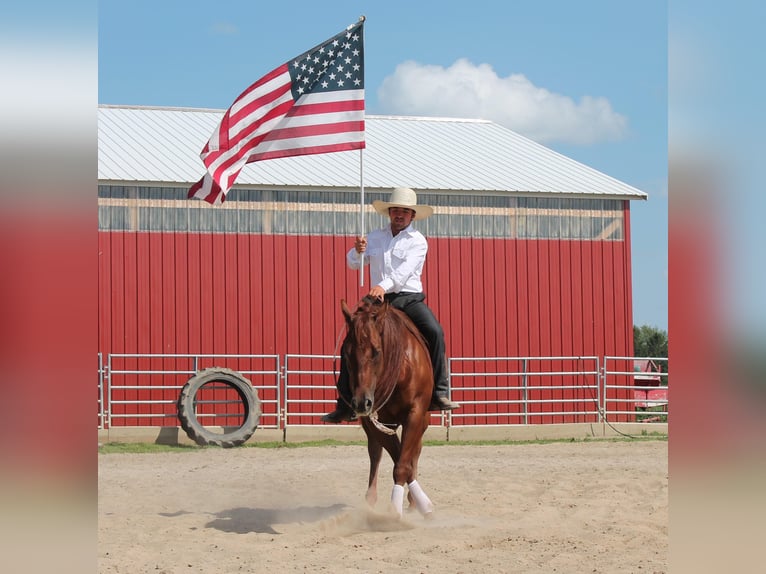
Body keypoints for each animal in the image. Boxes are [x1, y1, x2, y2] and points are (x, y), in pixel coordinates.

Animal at [342, 296, 438, 516]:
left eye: (377, 351)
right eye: (347, 353)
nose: (361, 402)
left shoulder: (415, 414)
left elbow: (404, 463)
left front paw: (413, 505)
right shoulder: (376, 421)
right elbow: (398, 459)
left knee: (414, 452)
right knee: (376, 454)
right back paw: (372, 499)